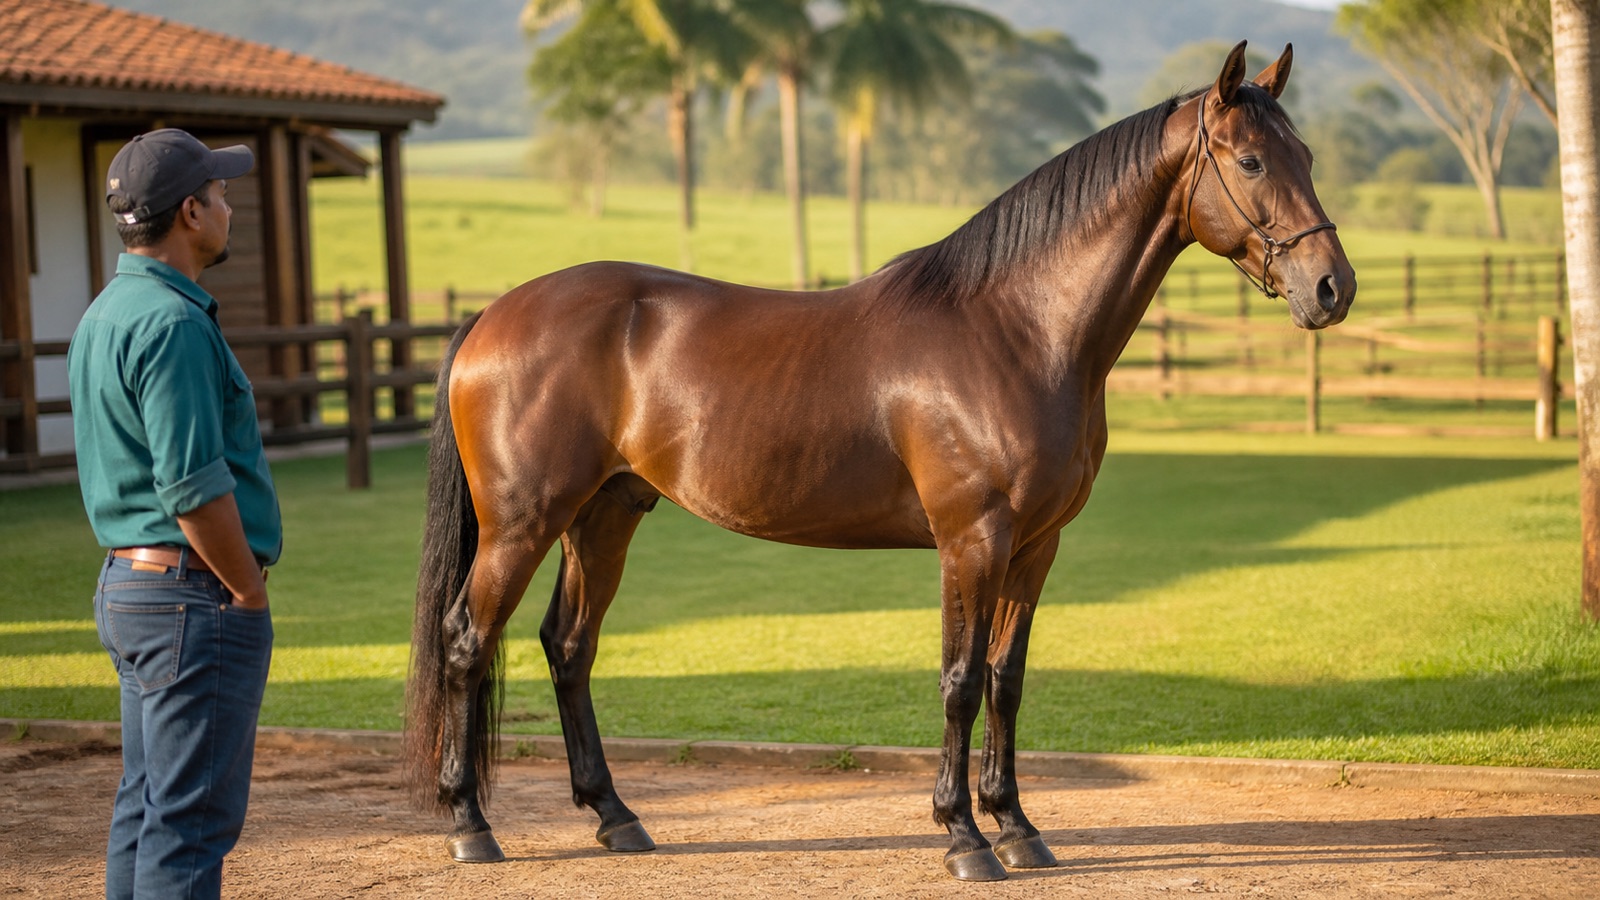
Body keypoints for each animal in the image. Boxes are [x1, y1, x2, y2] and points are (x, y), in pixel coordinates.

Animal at [403, 40, 1355, 881]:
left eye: (1304, 153)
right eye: (1250, 160)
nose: (1332, 289)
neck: (1016, 329)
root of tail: (492, 314)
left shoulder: (1036, 547)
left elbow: (1007, 681)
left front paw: (1017, 828)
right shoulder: (972, 541)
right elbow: (961, 681)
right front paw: (963, 838)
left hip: (603, 516)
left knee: (569, 647)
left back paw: (616, 817)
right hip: (523, 525)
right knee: (466, 643)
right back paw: (471, 827)